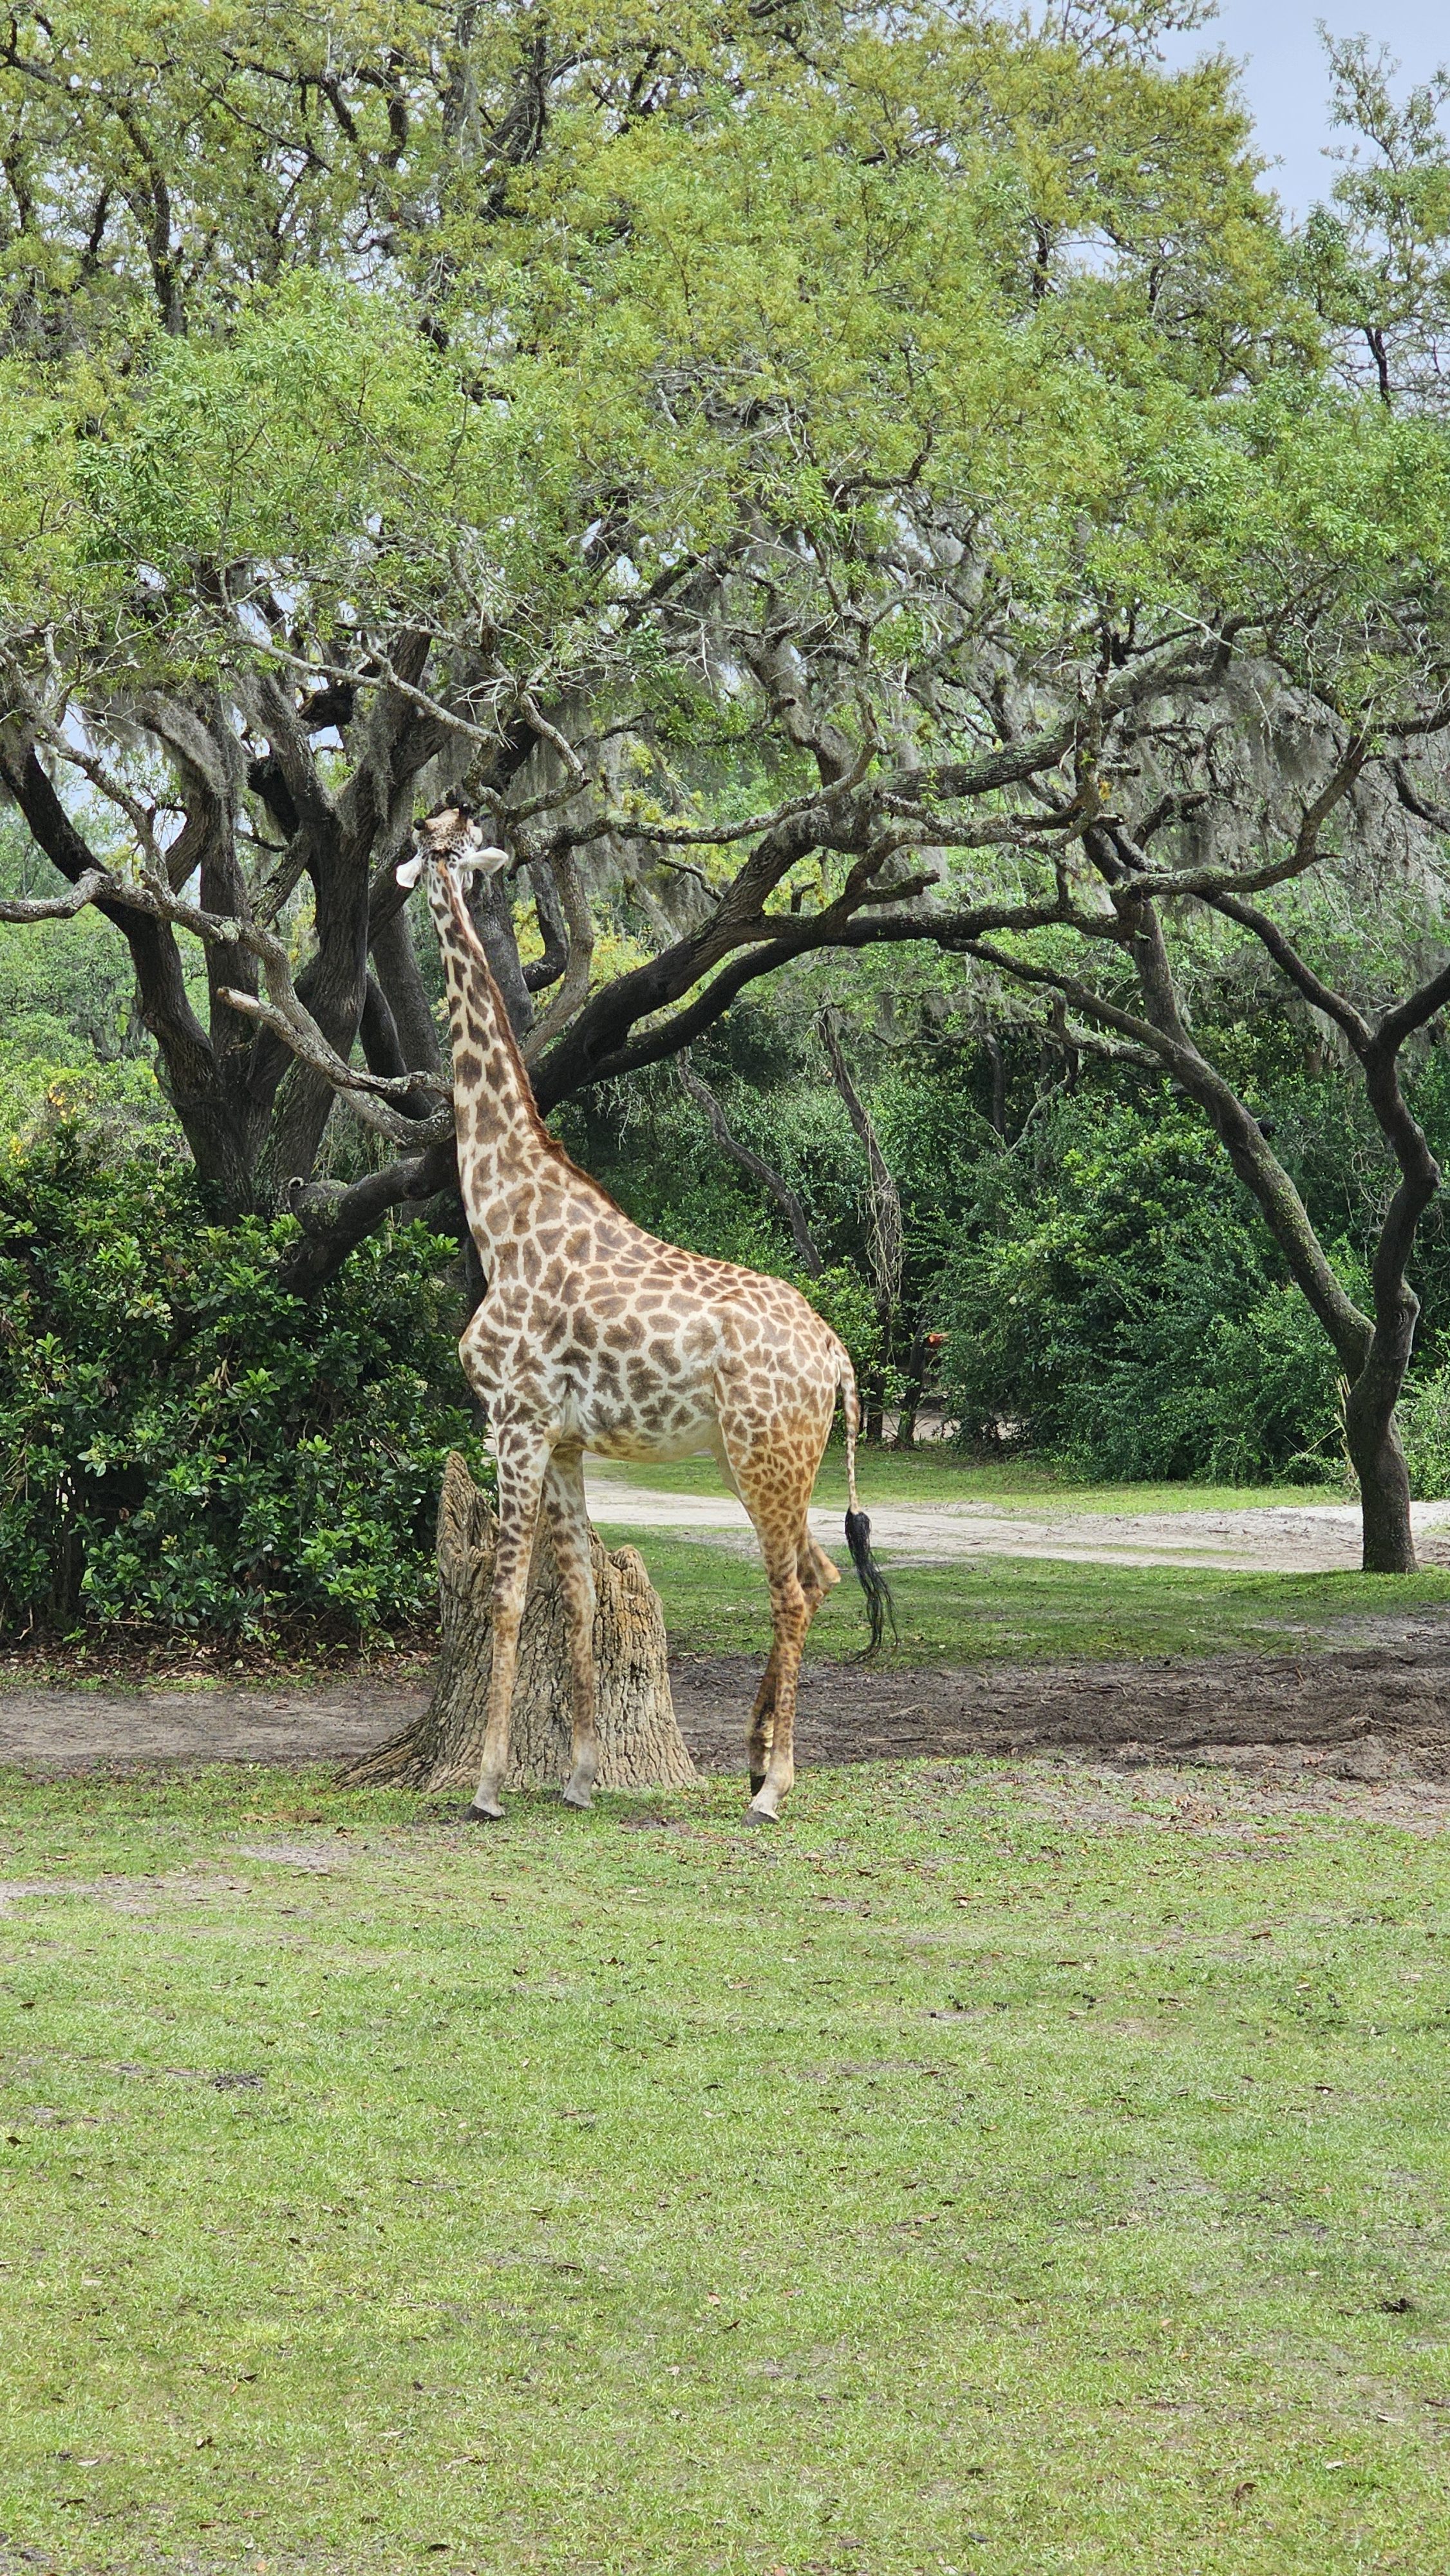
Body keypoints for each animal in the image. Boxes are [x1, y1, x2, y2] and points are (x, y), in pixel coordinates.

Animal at [397, 805, 894, 1824]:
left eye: (440, 841)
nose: (428, 861)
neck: (500, 1212)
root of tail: (838, 1358)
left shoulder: (512, 1421)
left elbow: (507, 1598)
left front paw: (489, 1785)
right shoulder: (564, 1439)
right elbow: (580, 1595)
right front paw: (580, 1777)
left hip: (763, 1455)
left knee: (794, 1589)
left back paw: (771, 1788)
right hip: (771, 1458)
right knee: (821, 1574)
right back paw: (754, 1757)